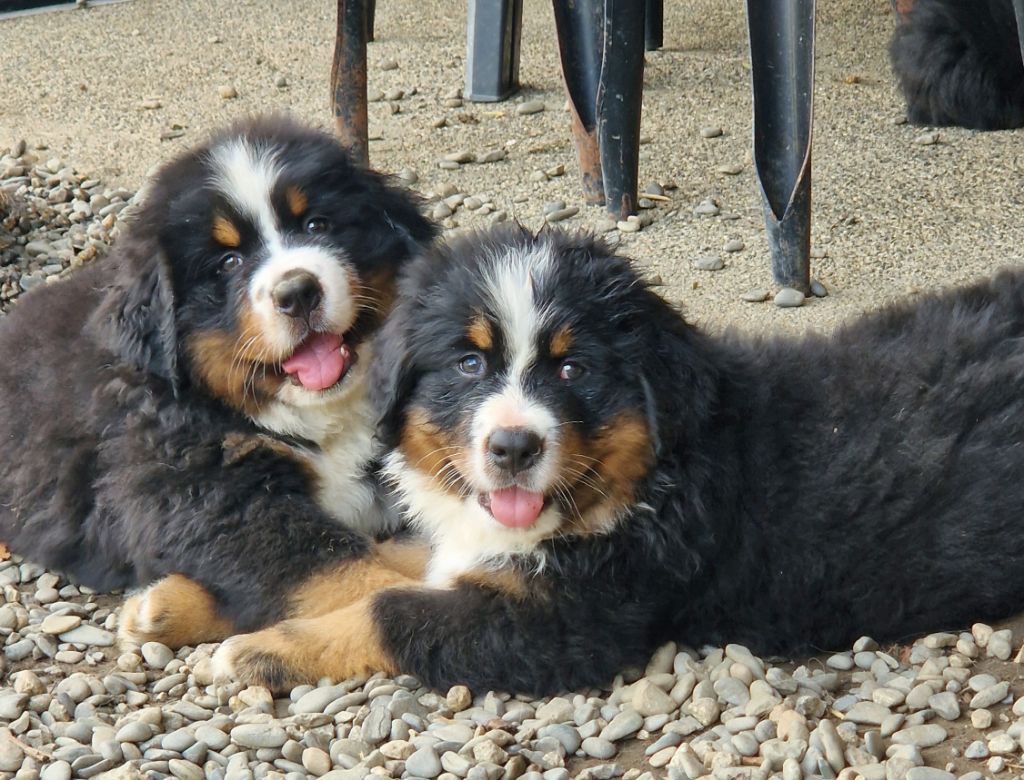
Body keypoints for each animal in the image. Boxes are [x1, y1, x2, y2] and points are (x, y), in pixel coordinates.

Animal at [149, 225, 1024, 691]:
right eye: (468, 363)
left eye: (574, 371)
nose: (512, 446)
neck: (658, 475)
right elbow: (383, 559)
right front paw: (173, 605)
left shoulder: (567, 621)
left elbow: (390, 608)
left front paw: (258, 650)